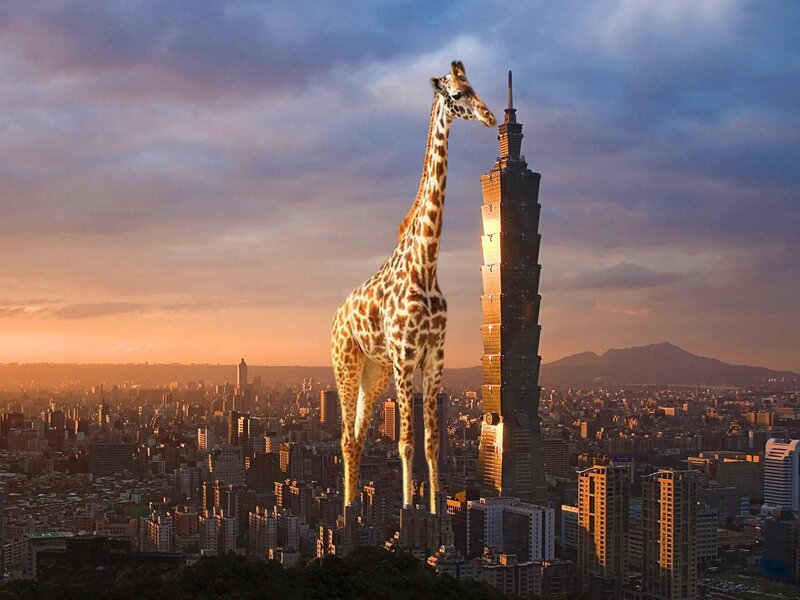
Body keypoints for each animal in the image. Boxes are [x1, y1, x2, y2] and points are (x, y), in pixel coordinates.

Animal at [331, 61, 496, 513]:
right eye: (455, 95)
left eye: (474, 85)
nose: (491, 117)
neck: (427, 264)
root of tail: (336, 318)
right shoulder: (406, 356)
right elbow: (405, 443)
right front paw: (408, 511)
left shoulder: (434, 356)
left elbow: (432, 443)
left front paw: (436, 511)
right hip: (346, 363)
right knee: (346, 437)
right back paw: (347, 511)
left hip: (375, 370)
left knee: (358, 436)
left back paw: (353, 507)